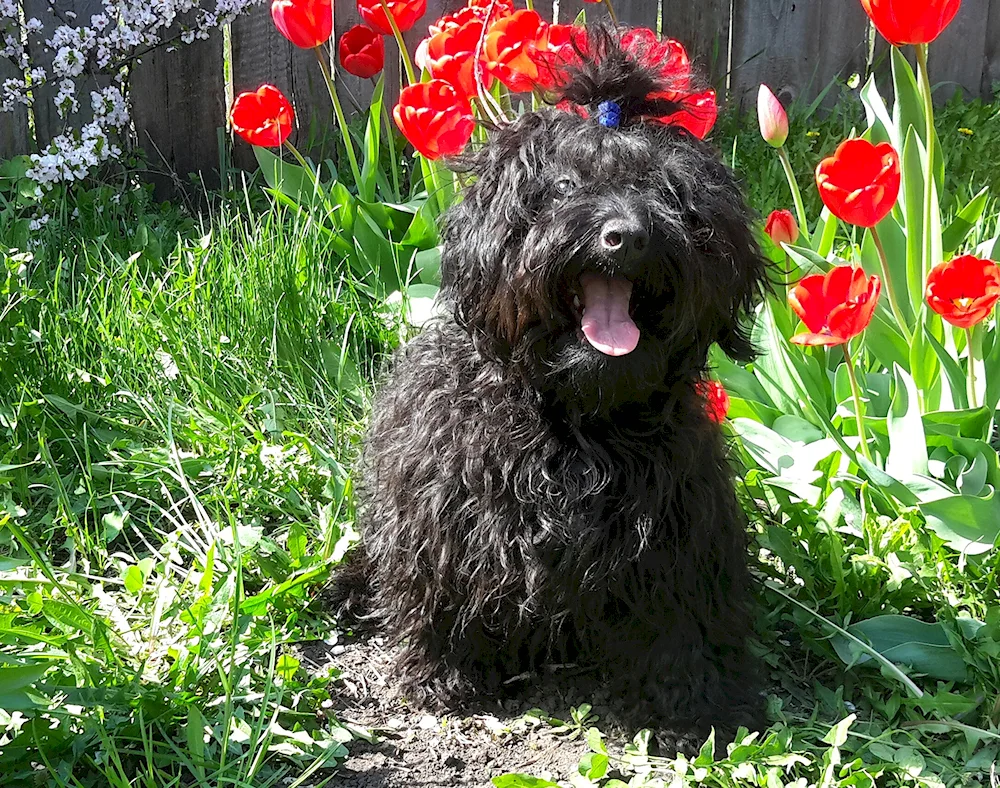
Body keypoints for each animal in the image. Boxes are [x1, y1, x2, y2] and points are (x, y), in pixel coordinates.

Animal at [340, 23, 768, 752]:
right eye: (563, 185)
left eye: (668, 191)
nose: (625, 237)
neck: (575, 414)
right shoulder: (440, 509)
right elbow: (436, 593)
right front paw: (439, 679)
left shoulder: (680, 525)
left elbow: (681, 618)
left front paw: (697, 703)